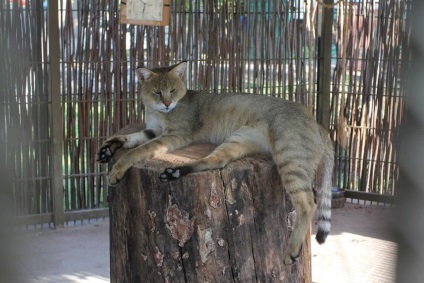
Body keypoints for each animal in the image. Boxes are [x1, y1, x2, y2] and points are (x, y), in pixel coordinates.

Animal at [97, 61, 334, 266]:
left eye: (172, 90)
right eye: (157, 92)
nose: (167, 103)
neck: (160, 112)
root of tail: (320, 125)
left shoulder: (175, 135)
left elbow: (138, 150)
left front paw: (116, 170)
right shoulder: (152, 130)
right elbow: (130, 138)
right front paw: (108, 148)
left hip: (289, 156)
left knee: (308, 203)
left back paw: (292, 250)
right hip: (239, 138)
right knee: (217, 160)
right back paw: (175, 172)